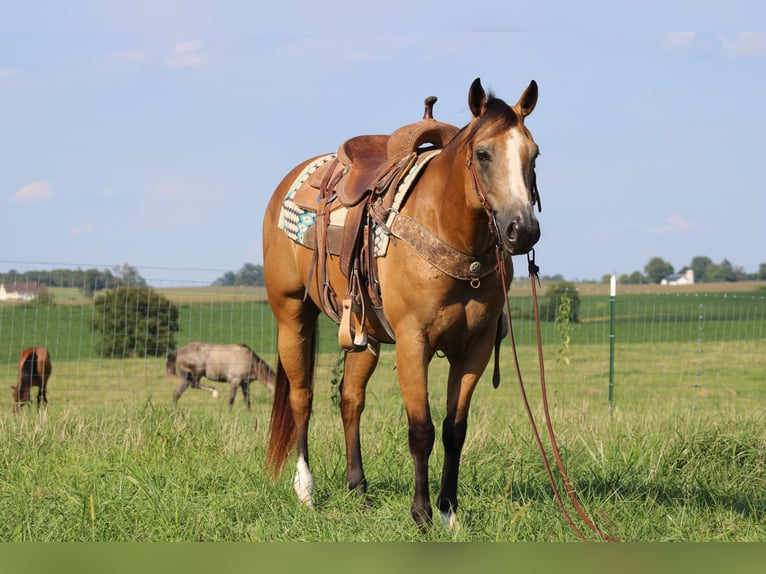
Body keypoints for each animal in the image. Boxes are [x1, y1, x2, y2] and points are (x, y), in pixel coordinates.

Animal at [264, 77, 544, 532]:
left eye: (533, 154)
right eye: (483, 154)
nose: (523, 231)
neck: (448, 229)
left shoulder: (476, 347)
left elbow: (454, 429)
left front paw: (449, 512)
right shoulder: (415, 343)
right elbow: (421, 430)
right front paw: (422, 513)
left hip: (365, 334)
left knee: (350, 400)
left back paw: (358, 490)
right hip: (291, 315)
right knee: (302, 397)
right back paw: (305, 490)